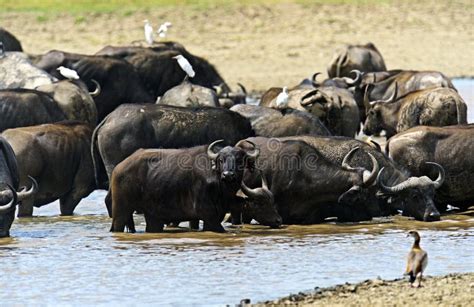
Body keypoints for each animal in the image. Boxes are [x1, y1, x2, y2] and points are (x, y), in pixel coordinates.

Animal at [109, 140, 280, 233]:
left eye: (239, 159)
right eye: (221, 159)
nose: (228, 175)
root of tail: (119, 168)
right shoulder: (208, 216)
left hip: (153, 217)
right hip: (121, 211)